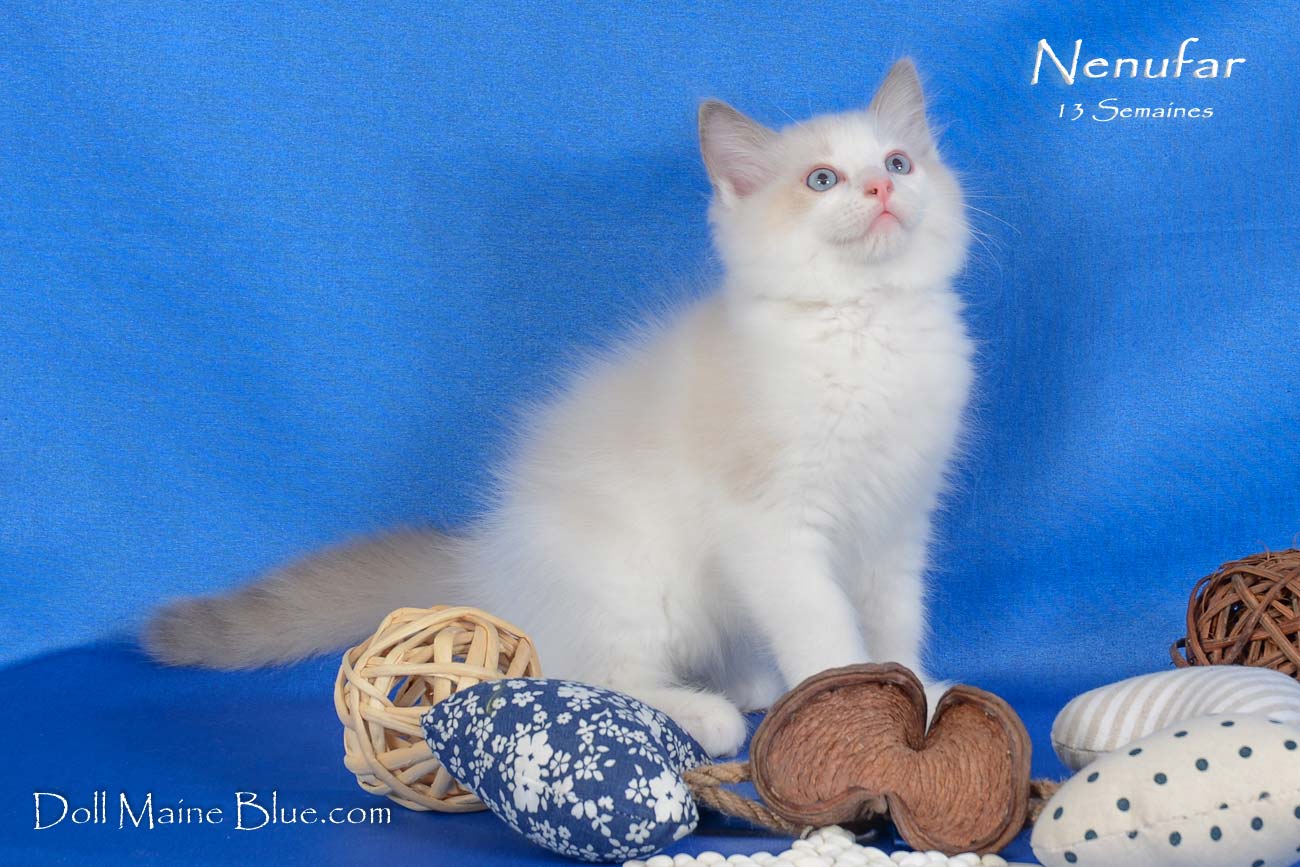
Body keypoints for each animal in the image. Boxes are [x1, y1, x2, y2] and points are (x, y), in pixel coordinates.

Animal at [144, 59, 974, 758]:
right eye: (822, 179)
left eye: (897, 163)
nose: (880, 189)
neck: (865, 326)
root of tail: (485, 557)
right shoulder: (775, 527)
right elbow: (825, 627)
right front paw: (854, 706)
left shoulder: (896, 520)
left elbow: (894, 621)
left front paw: (915, 695)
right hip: (632, 579)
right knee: (592, 671)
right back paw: (704, 712)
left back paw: (745, 680)